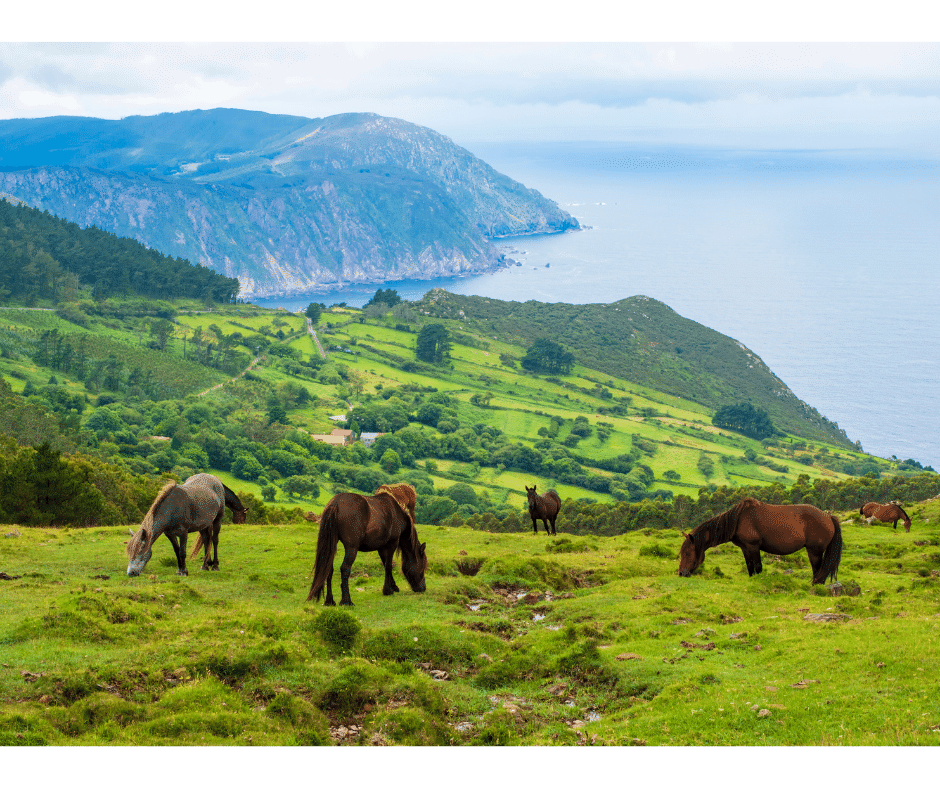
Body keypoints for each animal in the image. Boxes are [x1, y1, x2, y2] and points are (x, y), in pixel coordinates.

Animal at [676, 498, 844, 584]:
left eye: (687, 553)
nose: (681, 573)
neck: (738, 519)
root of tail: (828, 516)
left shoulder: (753, 547)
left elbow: (758, 567)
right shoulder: (745, 548)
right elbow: (750, 568)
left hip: (814, 551)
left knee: (818, 571)